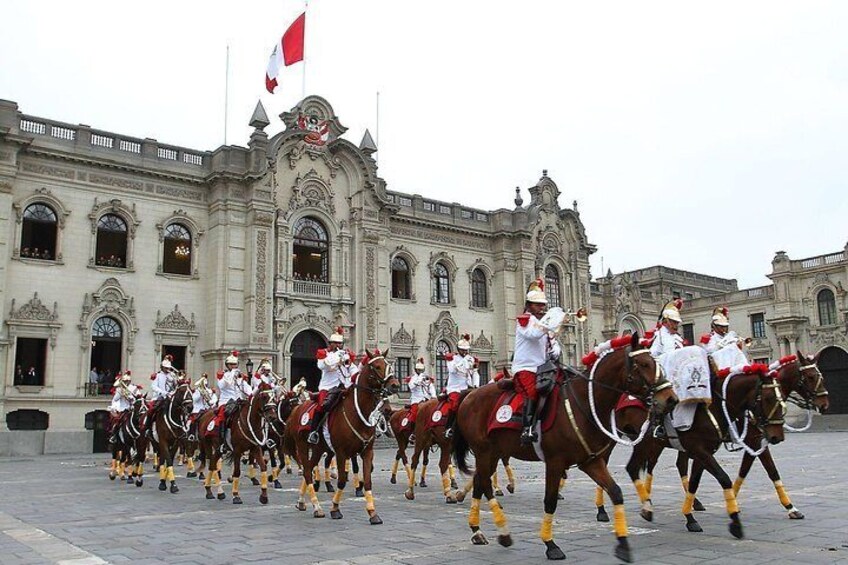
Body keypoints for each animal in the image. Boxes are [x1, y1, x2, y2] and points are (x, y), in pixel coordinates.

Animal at [282, 350, 394, 524]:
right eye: (377, 366)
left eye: (388, 364)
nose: (394, 384)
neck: (357, 412)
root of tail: (297, 409)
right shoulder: (341, 453)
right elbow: (341, 480)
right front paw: (335, 509)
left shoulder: (367, 452)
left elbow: (368, 481)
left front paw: (372, 512)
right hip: (302, 446)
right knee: (307, 471)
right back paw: (317, 507)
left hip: (318, 448)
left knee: (310, 467)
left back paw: (301, 501)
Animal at [454, 332, 672, 560]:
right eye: (643, 364)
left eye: (655, 362)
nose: (670, 398)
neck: (584, 403)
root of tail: (469, 395)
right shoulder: (555, 462)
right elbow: (550, 501)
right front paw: (550, 544)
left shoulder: (591, 461)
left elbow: (616, 492)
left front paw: (623, 544)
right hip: (484, 452)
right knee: (483, 482)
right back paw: (490, 529)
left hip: (493, 452)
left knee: (480, 481)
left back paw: (486, 530)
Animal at [628, 364, 784, 536]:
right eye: (768, 398)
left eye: (782, 398)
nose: (777, 436)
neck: (711, 409)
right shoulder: (700, 451)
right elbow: (724, 478)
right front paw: (735, 523)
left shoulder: (703, 453)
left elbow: (694, 483)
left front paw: (690, 518)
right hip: (644, 444)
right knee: (633, 467)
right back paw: (644, 507)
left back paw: (646, 507)